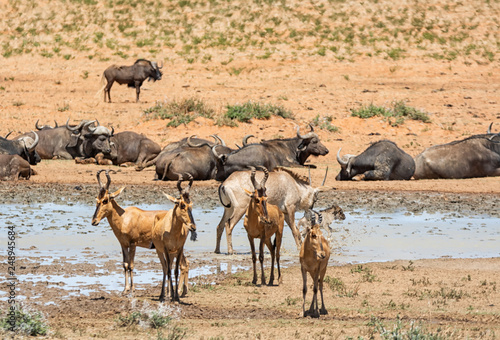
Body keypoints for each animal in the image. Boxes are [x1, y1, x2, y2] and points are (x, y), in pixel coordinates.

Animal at [151, 174, 196, 302]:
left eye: (191, 204)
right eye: (182, 204)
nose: (193, 227)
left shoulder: (179, 249)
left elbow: (175, 271)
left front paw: (176, 296)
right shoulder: (166, 249)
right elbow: (169, 271)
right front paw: (172, 296)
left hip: (173, 253)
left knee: (171, 267)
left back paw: (170, 294)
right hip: (160, 251)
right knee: (165, 268)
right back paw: (162, 295)